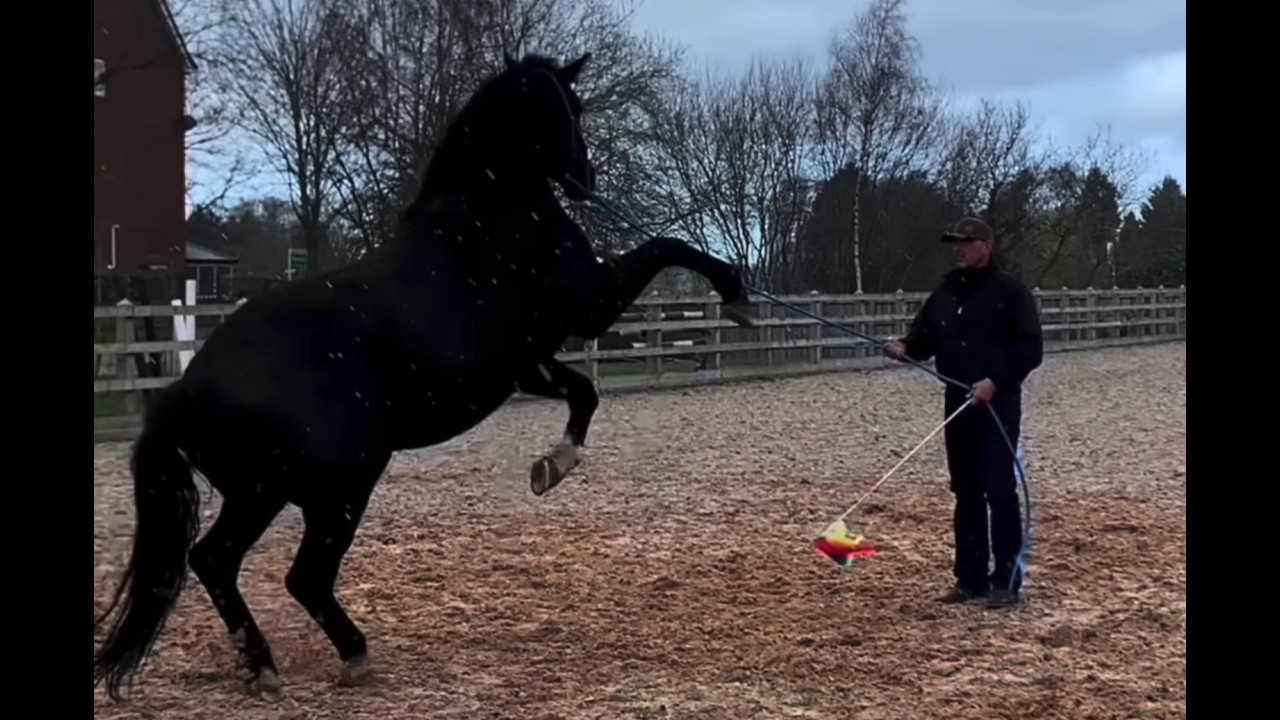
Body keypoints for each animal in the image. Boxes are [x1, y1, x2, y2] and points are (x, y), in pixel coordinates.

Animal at [92, 50, 755, 702]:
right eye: (573, 106)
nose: (583, 177)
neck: (492, 213)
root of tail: (185, 390)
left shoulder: (526, 365)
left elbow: (584, 393)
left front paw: (552, 468)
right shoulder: (591, 303)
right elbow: (668, 247)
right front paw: (734, 290)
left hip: (261, 493)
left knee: (214, 561)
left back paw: (260, 666)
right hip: (332, 487)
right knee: (300, 575)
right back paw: (348, 658)